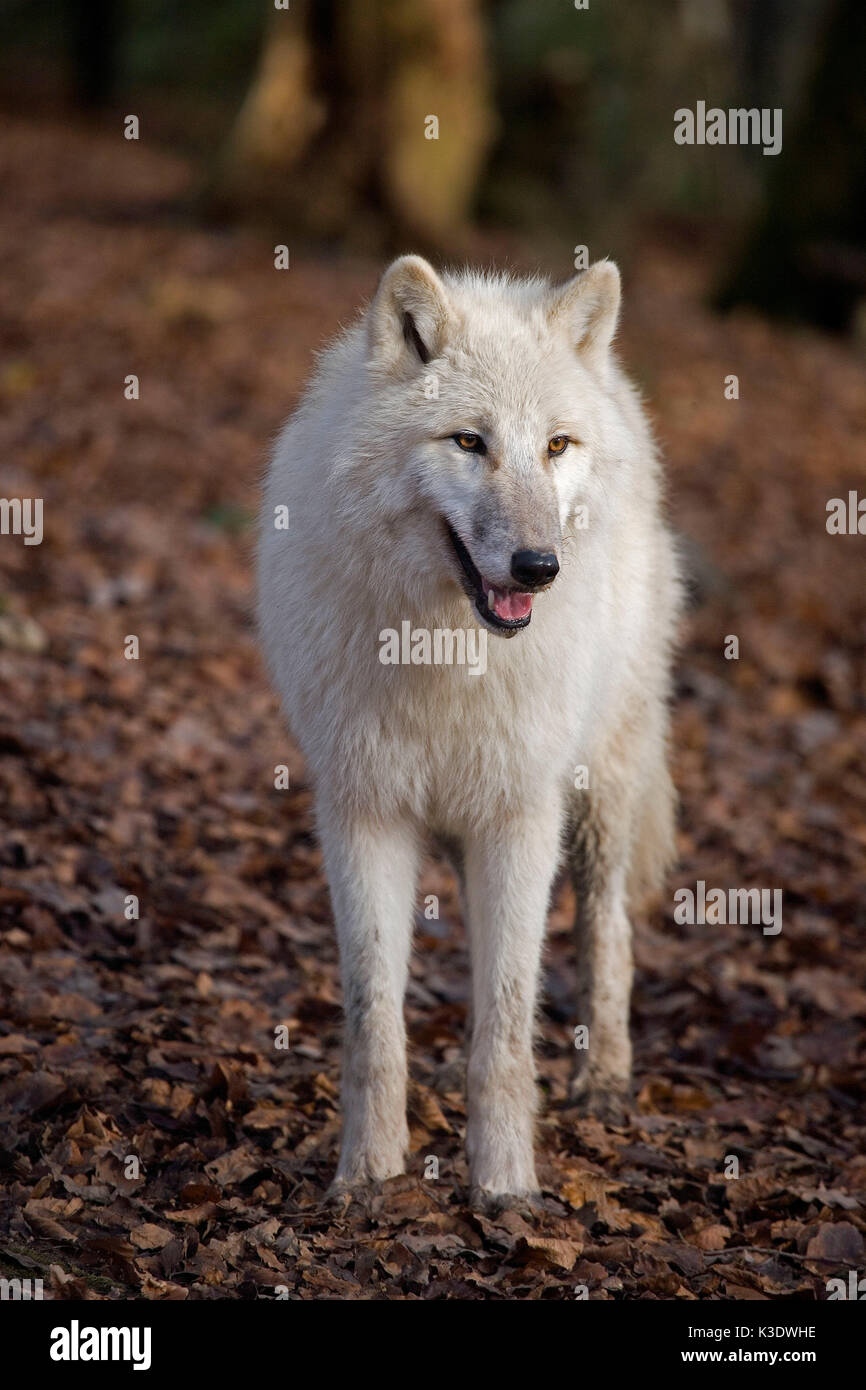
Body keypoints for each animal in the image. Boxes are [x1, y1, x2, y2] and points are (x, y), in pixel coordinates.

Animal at [258, 255, 681, 1201]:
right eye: (467, 442)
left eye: (554, 446)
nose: (538, 566)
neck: (449, 652)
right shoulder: (365, 811)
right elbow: (374, 1018)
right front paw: (367, 1176)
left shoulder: (521, 815)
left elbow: (510, 1021)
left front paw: (505, 1185)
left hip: (599, 791)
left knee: (608, 929)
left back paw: (604, 1077)